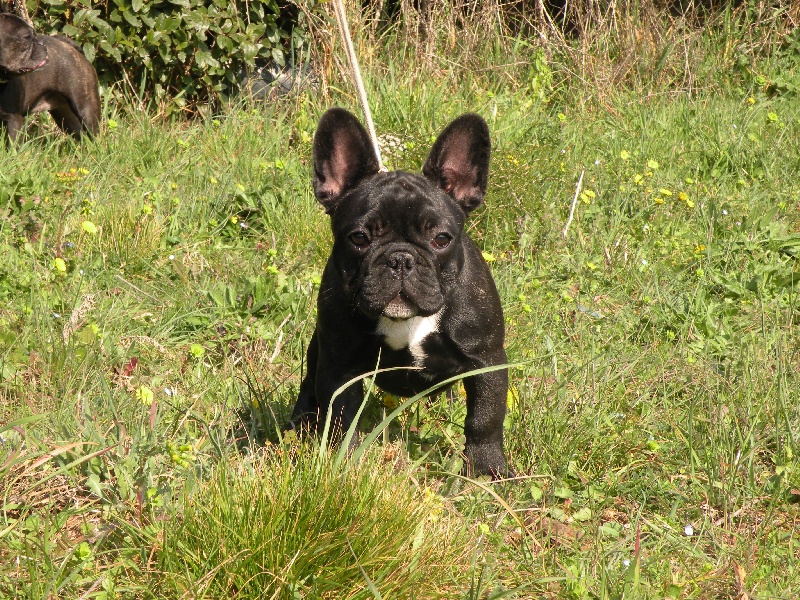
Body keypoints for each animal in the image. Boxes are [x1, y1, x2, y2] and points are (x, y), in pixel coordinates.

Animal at [0, 14, 100, 142]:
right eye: (26, 37)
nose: (41, 43)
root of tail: (68, 45)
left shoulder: (13, 119)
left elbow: (12, 144)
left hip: (86, 108)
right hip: (65, 116)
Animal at [292, 105, 512, 476]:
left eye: (441, 239)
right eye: (359, 238)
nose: (400, 259)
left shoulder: (486, 359)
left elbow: (484, 419)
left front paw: (486, 470)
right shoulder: (339, 367)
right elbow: (341, 420)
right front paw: (344, 466)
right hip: (317, 350)